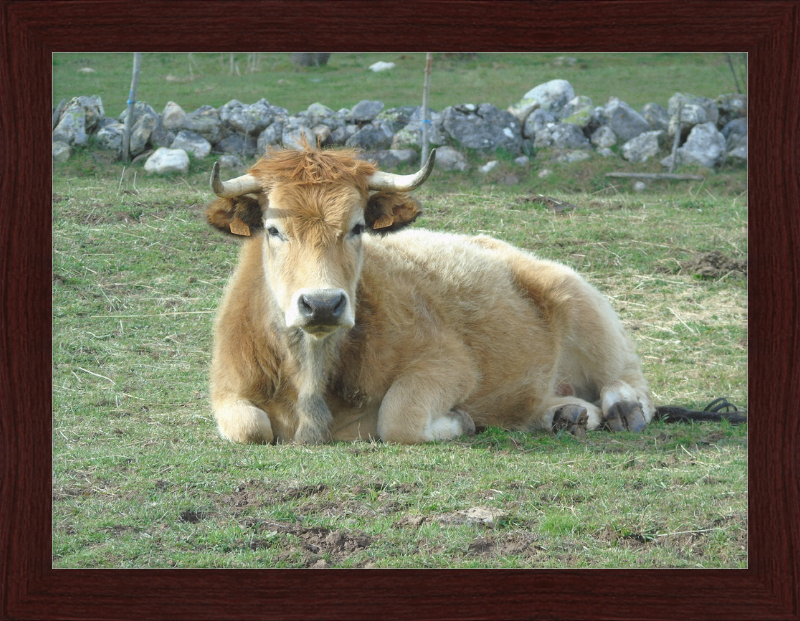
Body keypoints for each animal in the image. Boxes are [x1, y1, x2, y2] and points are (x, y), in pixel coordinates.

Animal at [203, 144, 652, 446]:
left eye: (357, 227)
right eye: (274, 229)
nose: (323, 304)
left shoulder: (449, 365)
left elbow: (398, 417)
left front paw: (462, 421)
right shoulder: (227, 389)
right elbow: (249, 427)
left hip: (585, 307)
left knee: (628, 380)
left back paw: (623, 409)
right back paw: (567, 414)